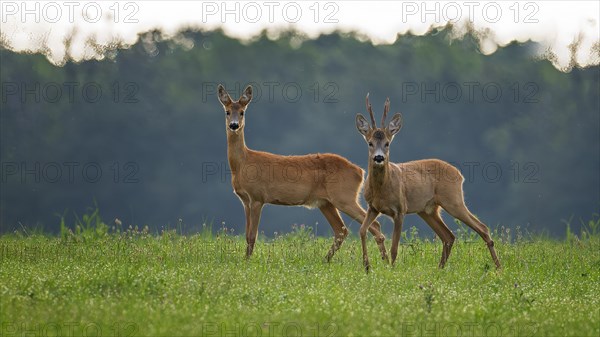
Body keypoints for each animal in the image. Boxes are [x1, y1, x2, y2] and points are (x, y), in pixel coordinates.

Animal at [218, 84, 392, 260]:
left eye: (242, 112)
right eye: (227, 111)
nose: (234, 125)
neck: (243, 163)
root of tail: (360, 171)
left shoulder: (257, 197)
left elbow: (253, 235)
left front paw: (247, 261)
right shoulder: (245, 200)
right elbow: (247, 235)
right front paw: (245, 259)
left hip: (344, 197)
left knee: (373, 224)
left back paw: (383, 260)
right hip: (326, 202)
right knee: (342, 230)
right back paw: (326, 260)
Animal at [354, 93, 500, 272]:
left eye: (387, 143)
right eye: (370, 143)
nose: (379, 157)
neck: (382, 190)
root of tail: (459, 174)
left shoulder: (400, 209)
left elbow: (394, 247)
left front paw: (391, 268)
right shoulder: (373, 207)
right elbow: (362, 230)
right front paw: (367, 266)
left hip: (453, 200)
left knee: (482, 228)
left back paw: (498, 267)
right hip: (428, 210)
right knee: (448, 236)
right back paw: (440, 268)